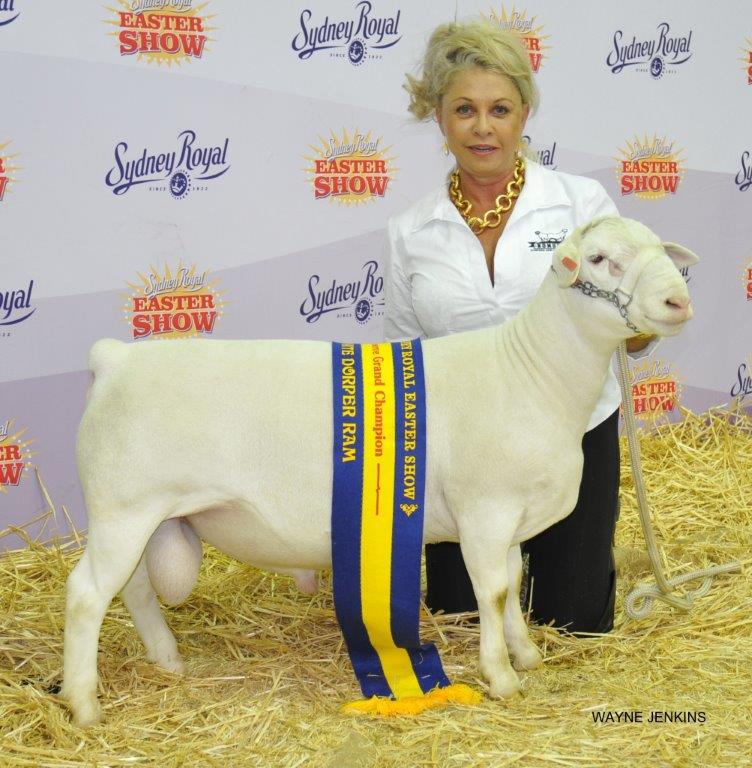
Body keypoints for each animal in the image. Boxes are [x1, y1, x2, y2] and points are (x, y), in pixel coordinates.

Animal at [61, 216, 698, 725]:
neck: (531, 371)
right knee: (88, 594)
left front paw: (526, 654)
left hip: (145, 516)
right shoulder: (485, 511)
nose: (678, 302)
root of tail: (113, 359)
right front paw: (501, 677)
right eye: (599, 259)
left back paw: (167, 660)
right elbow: (492, 592)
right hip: (124, 508)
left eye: (659, 250)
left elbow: (513, 586)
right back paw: (85, 705)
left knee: (133, 588)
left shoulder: (508, 517)